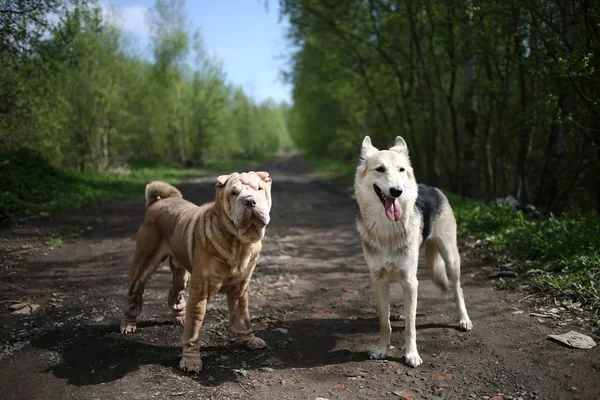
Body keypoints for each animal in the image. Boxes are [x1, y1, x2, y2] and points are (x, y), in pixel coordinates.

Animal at [354, 136, 472, 368]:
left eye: (401, 170)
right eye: (380, 169)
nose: (396, 191)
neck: (387, 230)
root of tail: (432, 187)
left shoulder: (409, 278)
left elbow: (411, 326)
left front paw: (412, 355)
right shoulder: (379, 280)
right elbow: (385, 322)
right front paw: (382, 349)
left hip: (450, 259)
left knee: (458, 289)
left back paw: (464, 319)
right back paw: (401, 312)